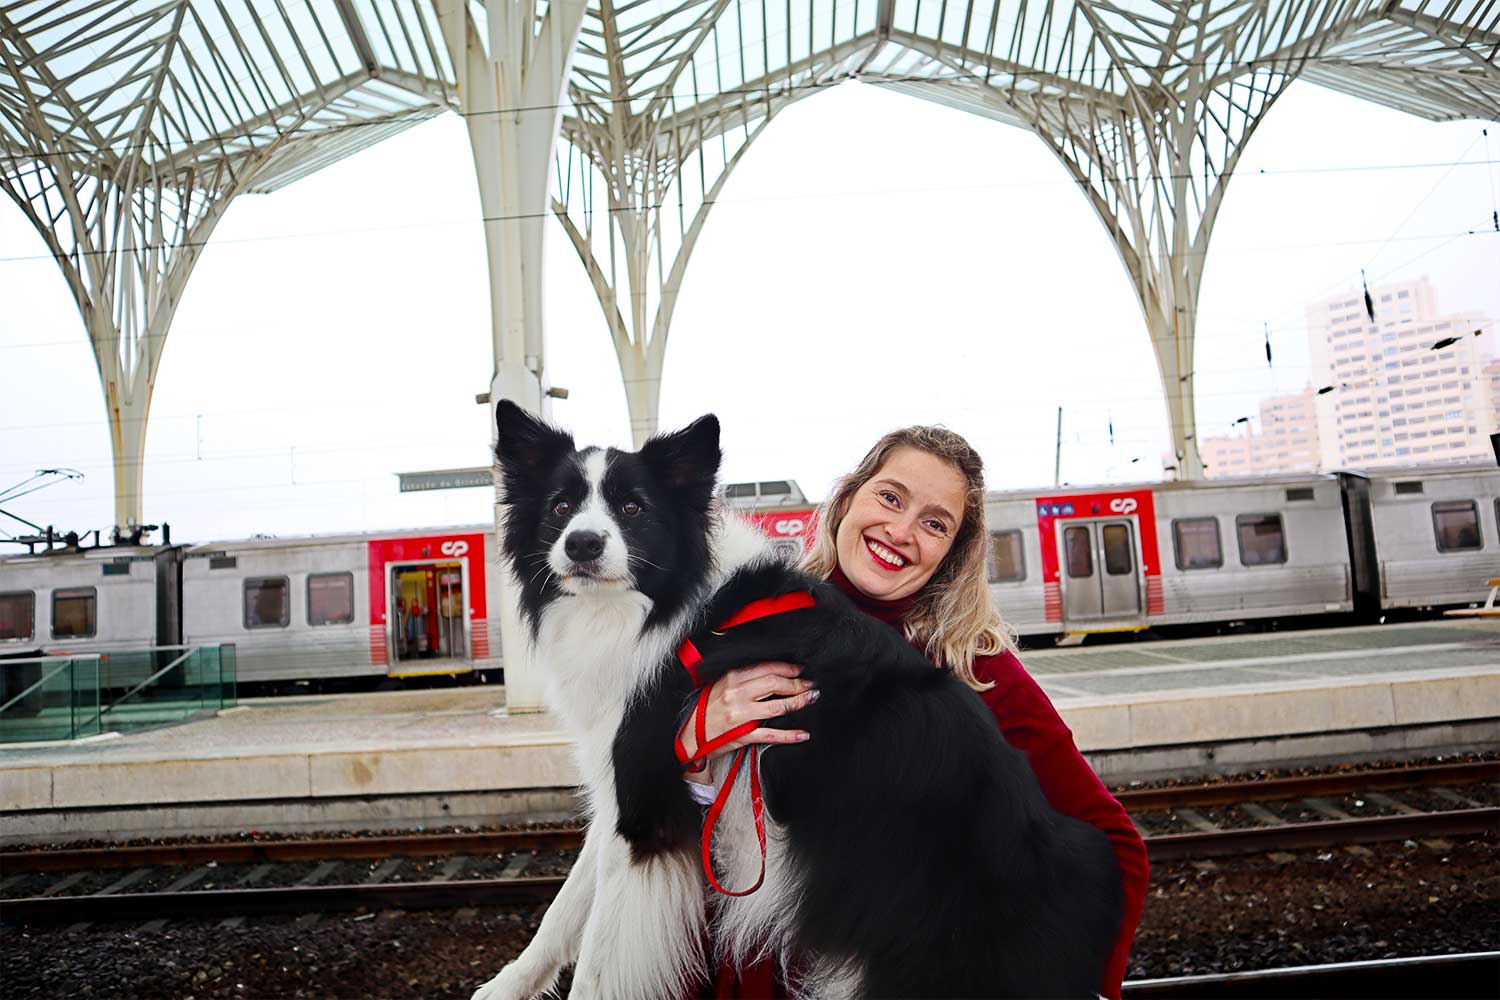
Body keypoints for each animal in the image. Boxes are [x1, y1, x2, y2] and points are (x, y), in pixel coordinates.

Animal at [474, 404, 1122, 1000]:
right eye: (560, 507)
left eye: (633, 508)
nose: (582, 543)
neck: (660, 605)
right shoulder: (623, 793)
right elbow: (564, 909)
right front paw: (507, 986)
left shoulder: (643, 797)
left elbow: (597, 959)